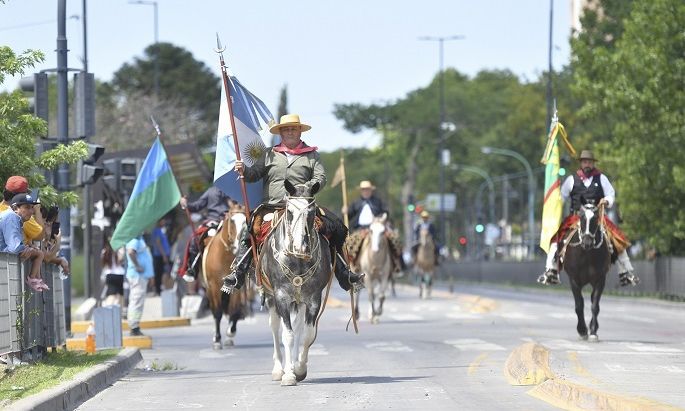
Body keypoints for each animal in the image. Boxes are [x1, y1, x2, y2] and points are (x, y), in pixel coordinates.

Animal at [202, 204, 250, 350]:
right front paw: (217, 340)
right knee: (214, 310)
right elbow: (217, 313)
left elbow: (234, 310)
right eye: (231, 221)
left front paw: (230, 333)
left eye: (246, 221)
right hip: (209, 290)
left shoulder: (237, 288)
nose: (239, 244)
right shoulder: (214, 286)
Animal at [260, 180, 332, 386]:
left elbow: (307, 335)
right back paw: (279, 369)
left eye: (312, 211)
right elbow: (288, 335)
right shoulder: (281, 297)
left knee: (298, 328)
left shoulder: (313, 299)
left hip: (299, 301)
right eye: (290, 211)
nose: (300, 247)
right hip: (271, 298)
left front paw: (299, 369)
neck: (297, 259)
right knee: (276, 328)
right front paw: (289, 375)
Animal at [560, 202, 608, 342]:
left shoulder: (600, 279)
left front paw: (593, 331)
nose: (587, 242)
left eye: (595, 218)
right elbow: (579, 305)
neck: (586, 254)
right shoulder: (574, 280)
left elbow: (595, 305)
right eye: (581, 218)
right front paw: (582, 330)